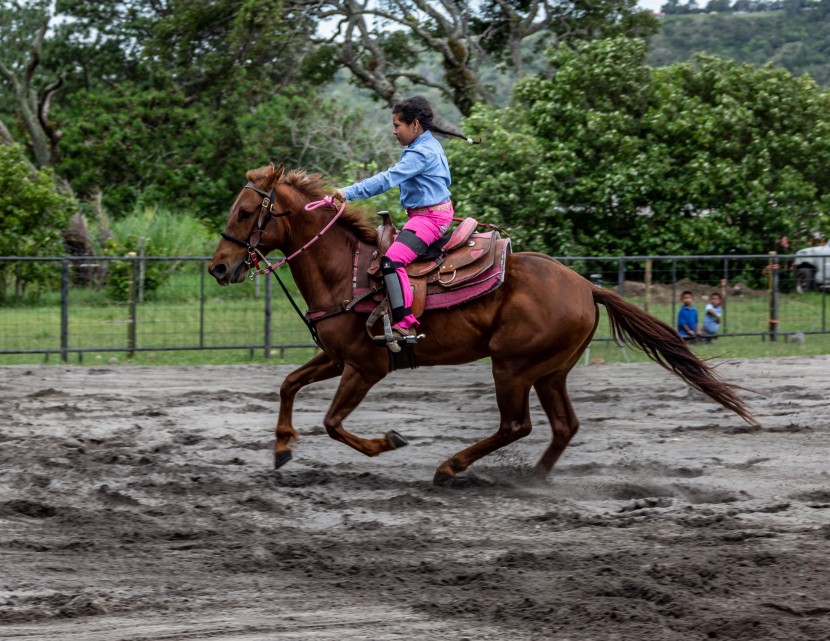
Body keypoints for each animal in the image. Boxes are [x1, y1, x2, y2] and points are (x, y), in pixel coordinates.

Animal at [208, 164, 752, 484]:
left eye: (248, 211)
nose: (217, 267)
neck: (350, 271)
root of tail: (585, 286)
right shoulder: (337, 357)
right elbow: (288, 383)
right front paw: (281, 448)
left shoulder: (365, 366)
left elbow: (333, 423)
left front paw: (387, 443)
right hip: (550, 371)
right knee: (563, 426)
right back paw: (532, 479)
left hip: (511, 366)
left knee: (516, 424)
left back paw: (450, 467)